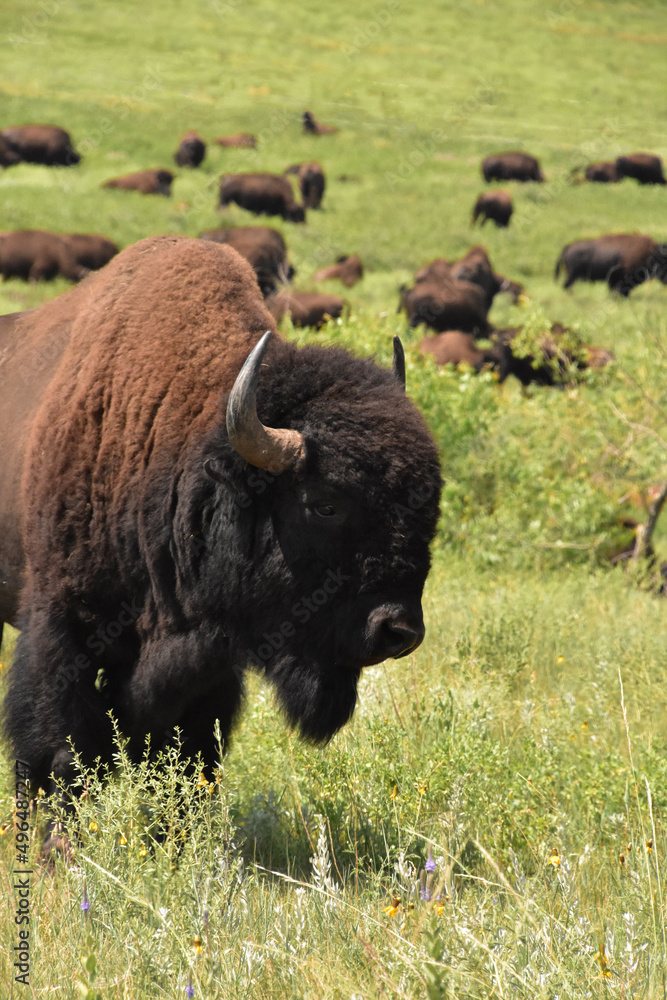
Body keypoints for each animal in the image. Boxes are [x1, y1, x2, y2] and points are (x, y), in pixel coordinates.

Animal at [0, 236, 441, 826]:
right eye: (325, 505)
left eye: (427, 505)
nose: (400, 631)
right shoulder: (59, 625)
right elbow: (59, 757)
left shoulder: (205, 666)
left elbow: (190, 762)